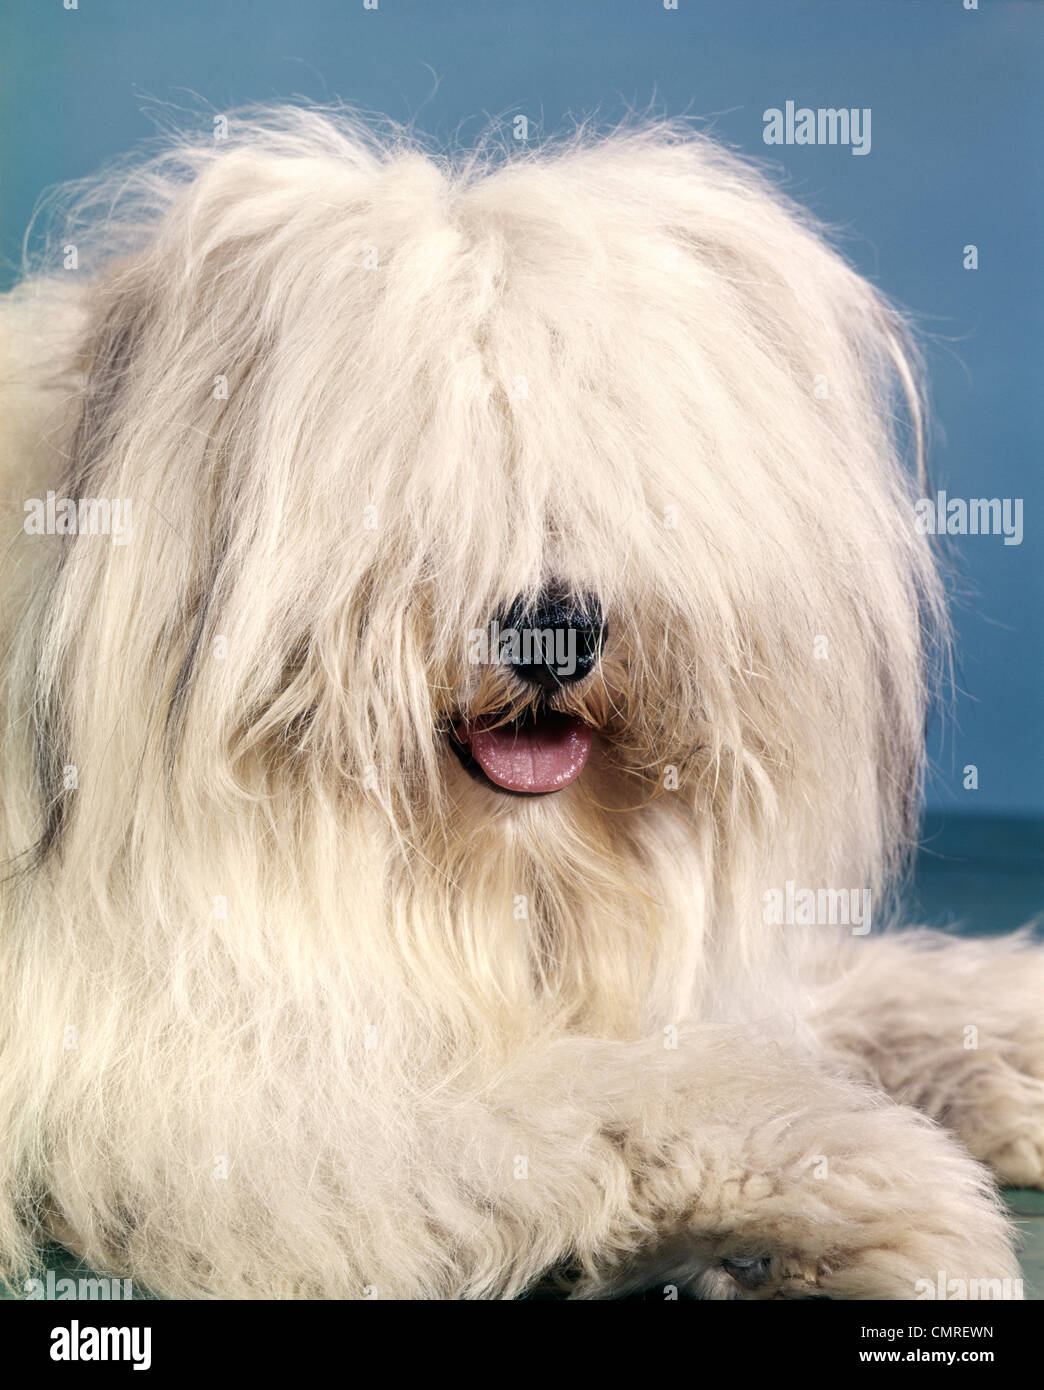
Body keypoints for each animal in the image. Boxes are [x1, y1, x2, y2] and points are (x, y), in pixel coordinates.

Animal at [0, 111, 1039, 1301]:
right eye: (415, 474)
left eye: (627, 466)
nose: (556, 629)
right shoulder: (222, 1095)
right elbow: (628, 1092)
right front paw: (875, 1188)